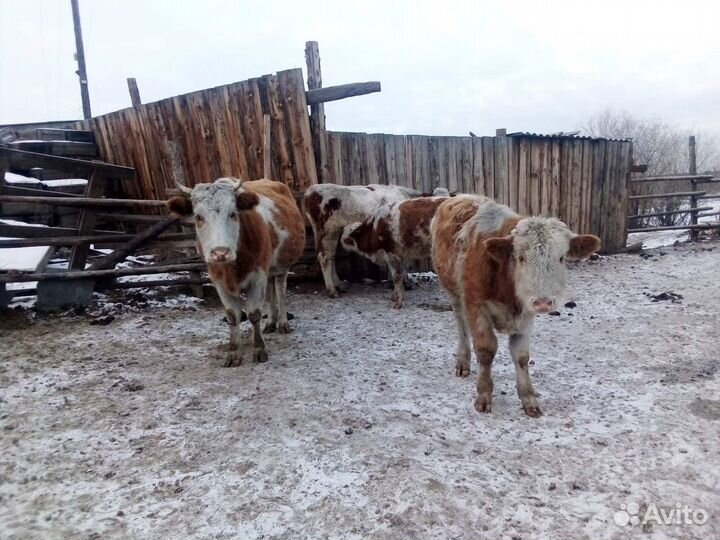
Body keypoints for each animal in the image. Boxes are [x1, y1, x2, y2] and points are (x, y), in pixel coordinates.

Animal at [167, 178, 305, 367]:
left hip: (282, 266)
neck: (232, 268)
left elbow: (254, 313)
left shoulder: (258, 276)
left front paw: (259, 349)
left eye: (233, 214)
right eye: (198, 217)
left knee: (280, 290)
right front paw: (233, 353)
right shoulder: (218, 280)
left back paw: (283, 323)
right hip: (268, 268)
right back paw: (270, 323)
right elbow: (233, 315)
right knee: (271, 292)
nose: (220, 252)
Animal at [431, 195, 600, 417]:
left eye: (561, 258)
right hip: (453, 292)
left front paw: (528, 398)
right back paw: (463, 361)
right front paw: (483, 395)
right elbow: (486, 350)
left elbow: (521, 356)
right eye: (520, 258)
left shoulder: (526, 315)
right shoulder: (475, 306)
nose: (543, 301)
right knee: (461, 325)